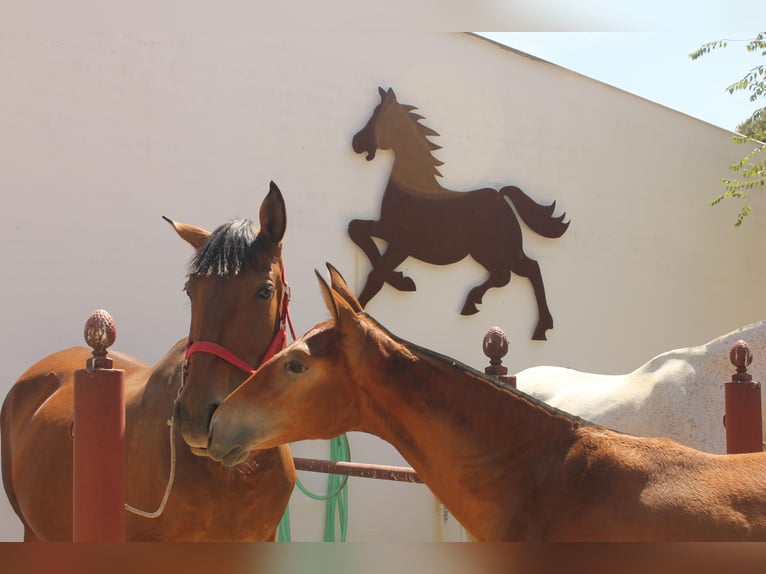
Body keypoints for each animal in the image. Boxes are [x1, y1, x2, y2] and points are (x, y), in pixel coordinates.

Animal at [349, 87, 569, 340]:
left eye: (378, 116)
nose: (356, 142)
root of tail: (500, 196)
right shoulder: (387, 231)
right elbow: (356, 230)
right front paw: (402, 281)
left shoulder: (400, 242)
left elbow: (376, 274)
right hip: (485, 253)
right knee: (504, 276)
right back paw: (471, 304)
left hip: (502, 251)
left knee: (530, 268)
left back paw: (541, 328)